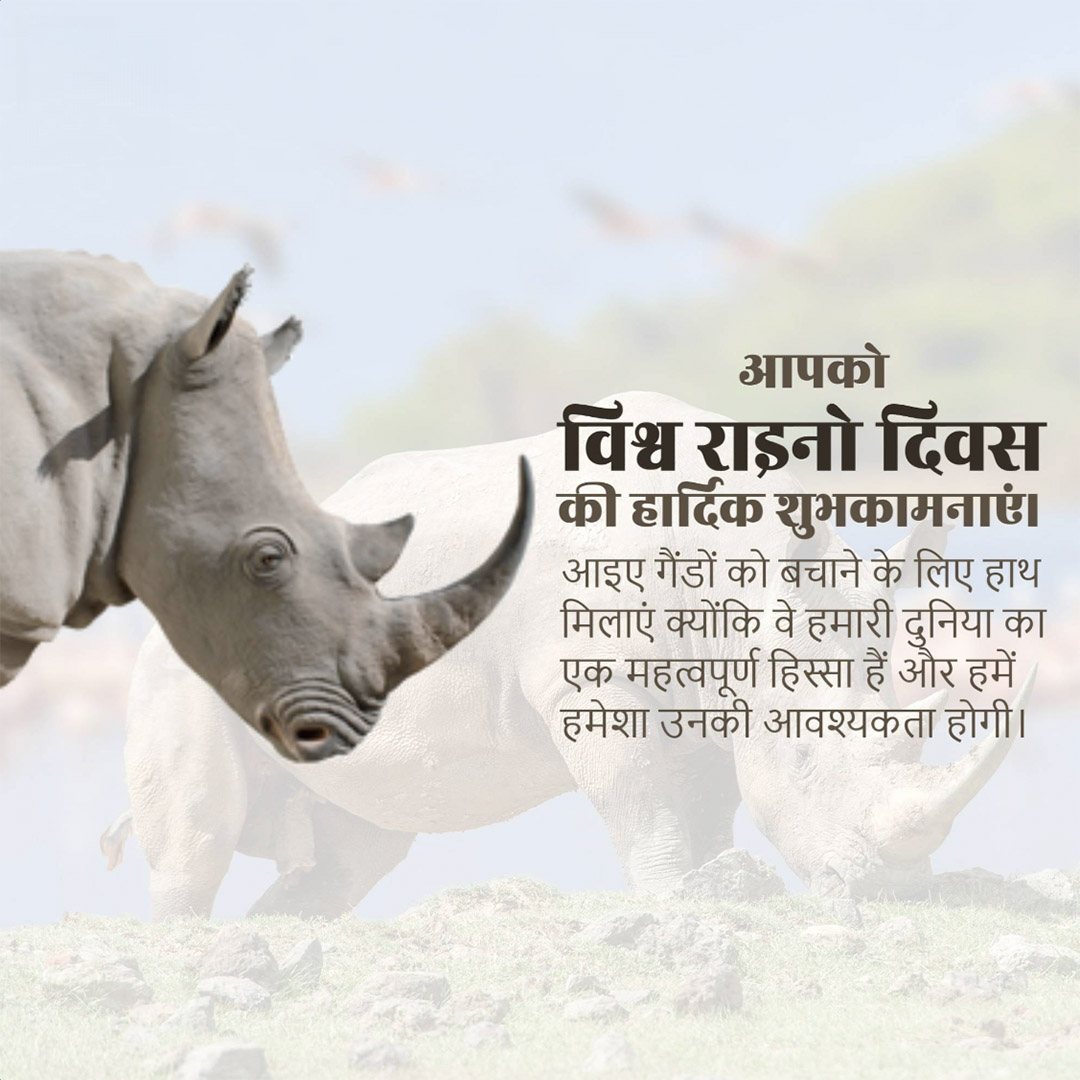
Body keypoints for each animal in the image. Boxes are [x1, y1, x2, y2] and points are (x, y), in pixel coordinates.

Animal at [105, 392, 1031, 917]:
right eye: (803, 754)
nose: (892, 893)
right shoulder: (590, 686)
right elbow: (645, 800)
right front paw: (677, 901)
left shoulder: (708, 690)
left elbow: (701, 802)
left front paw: (717, 886)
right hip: (180, 663)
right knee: (200, 836)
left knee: (358, 847)